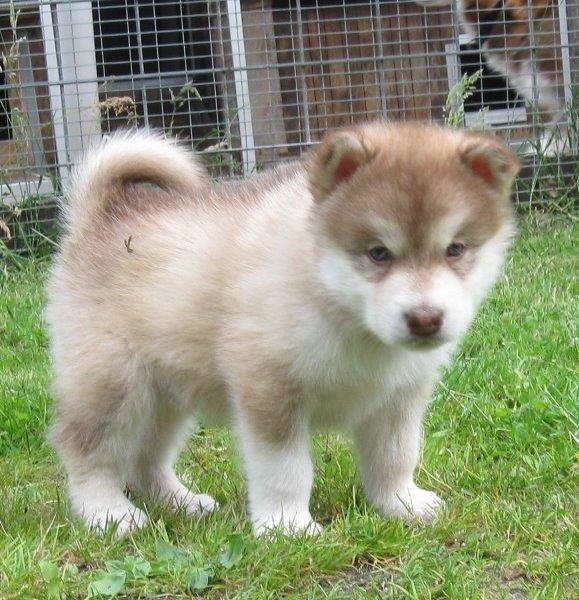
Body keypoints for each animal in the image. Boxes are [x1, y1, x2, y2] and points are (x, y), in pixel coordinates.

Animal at [46, 123, 518, 536]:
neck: (338, 306)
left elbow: (396, 456)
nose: (425, 319)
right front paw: (288, 527)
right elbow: (286, 470)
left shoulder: (398, 398)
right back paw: (108, 514)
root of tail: (103, 216)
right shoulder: (270, 389)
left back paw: (181, 502)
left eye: (455, 249)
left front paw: (402, 504)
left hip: (167, 392)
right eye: (378, 253)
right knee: (86, 451)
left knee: (147, 457)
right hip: (114, 383)